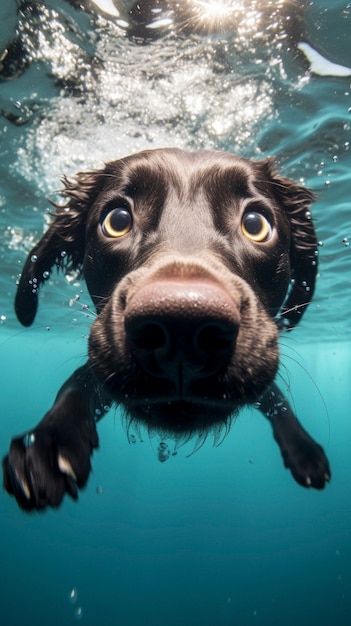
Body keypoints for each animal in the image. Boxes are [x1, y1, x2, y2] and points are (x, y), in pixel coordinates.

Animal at [2, 149, 332, 510]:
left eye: (256, 225)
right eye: (117, 221)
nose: (182, 328)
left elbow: (277, 401)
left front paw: (304, 452)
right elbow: (76, 384)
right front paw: (47, 445)